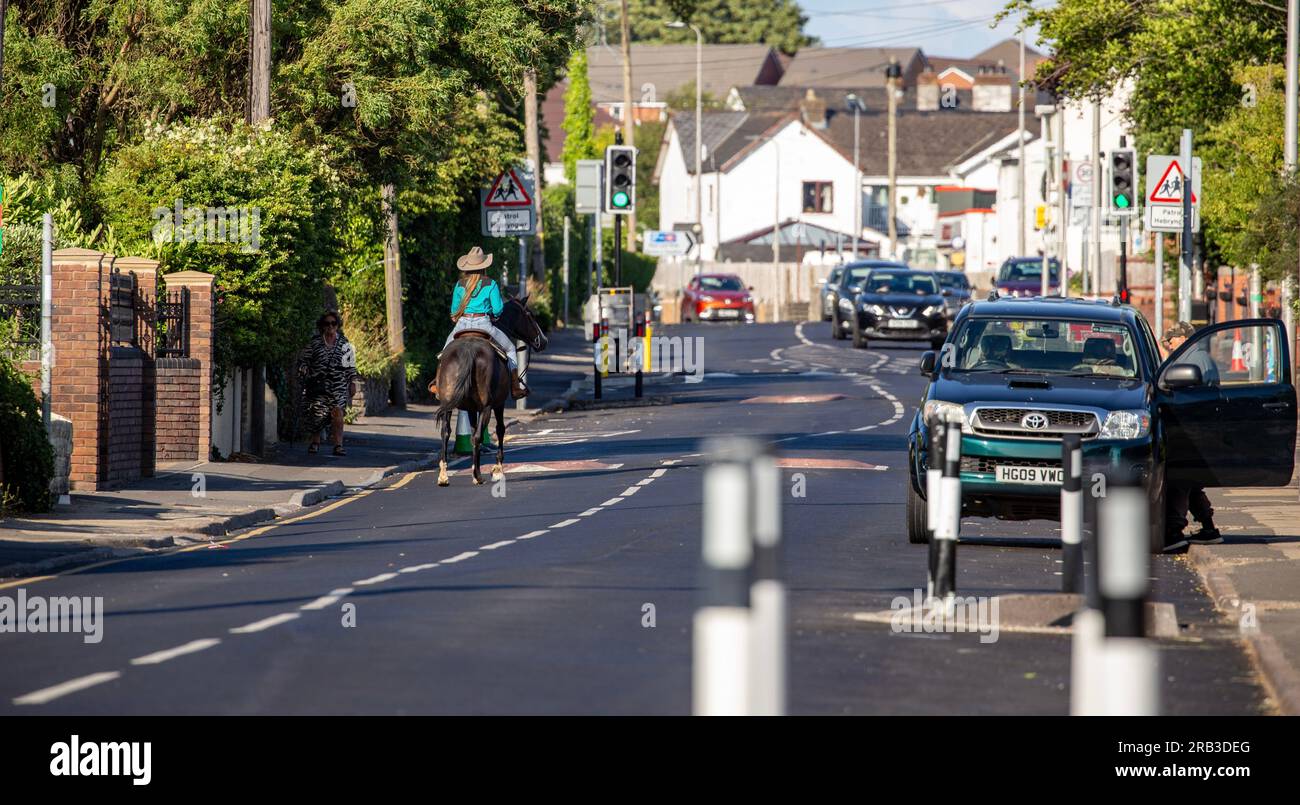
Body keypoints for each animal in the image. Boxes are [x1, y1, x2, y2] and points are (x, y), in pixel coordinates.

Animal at [431, 296, 543, 483]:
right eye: (530, 315)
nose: (543, 340)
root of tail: (469, 350)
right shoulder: (498, 404)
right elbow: (499, 429)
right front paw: (497, 468)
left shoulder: (470, 408)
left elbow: (473, 432)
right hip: (487, 406)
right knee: (478, 435)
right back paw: (477, 475)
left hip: (448, 403)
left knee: (446, 432)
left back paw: (444, 475)